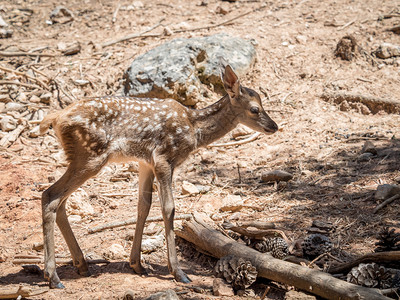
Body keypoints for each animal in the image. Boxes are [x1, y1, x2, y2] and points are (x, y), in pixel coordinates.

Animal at [39, 63, 278, 288]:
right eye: (255, 109)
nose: (274, 126)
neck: (194, 128)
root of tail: (55, 118)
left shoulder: (146, 162)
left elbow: (143, 206)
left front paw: (137, 264)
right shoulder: (164, 158)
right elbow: (168, 208)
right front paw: (178, 272)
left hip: (83, 159)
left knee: (60, 201)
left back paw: (81, 265)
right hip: (89, 156)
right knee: (50, 196)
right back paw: (53, 276)